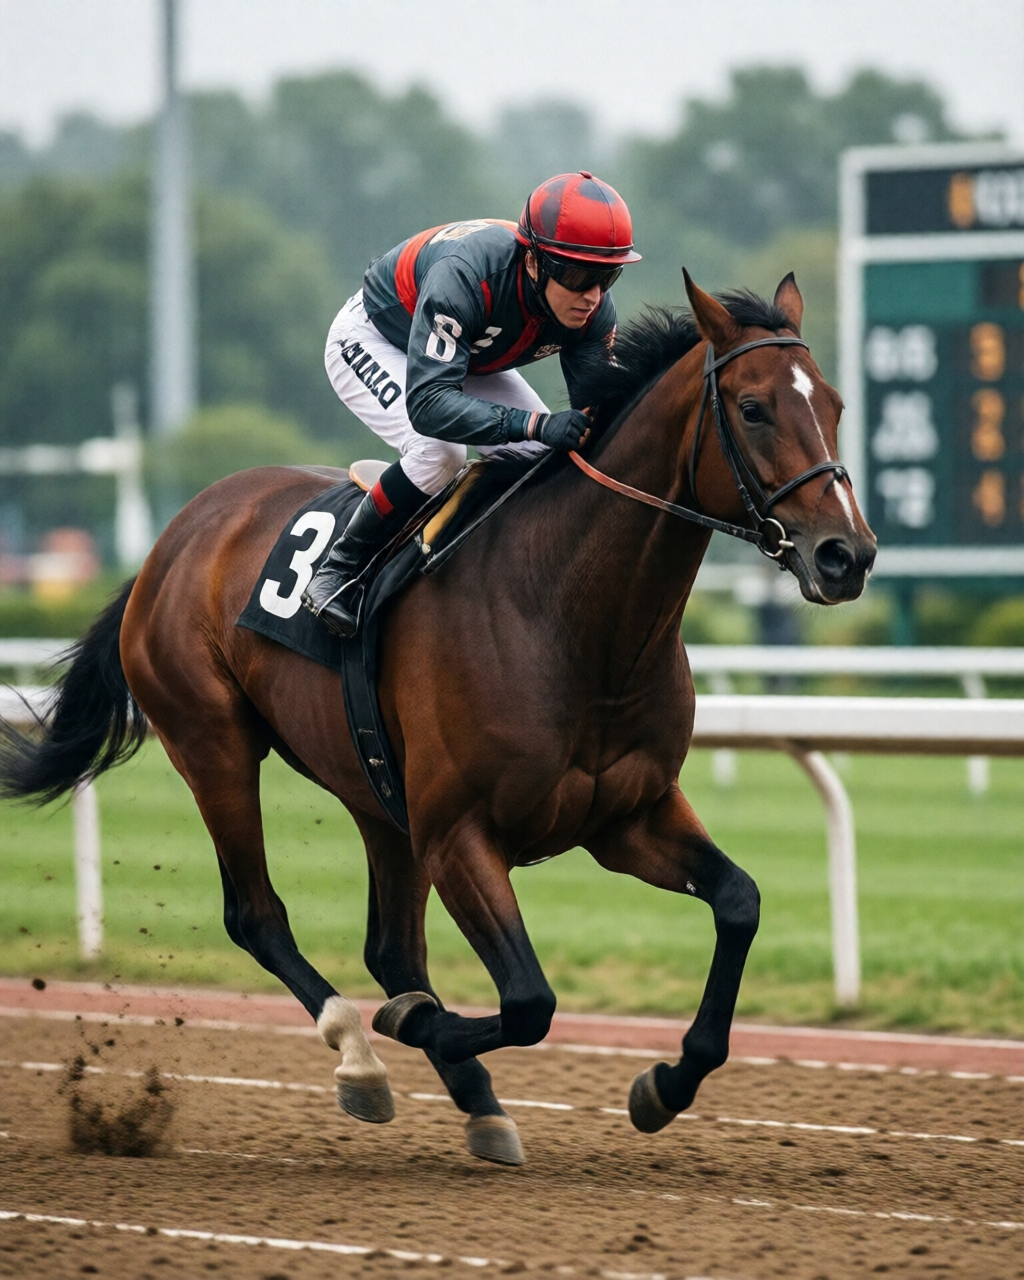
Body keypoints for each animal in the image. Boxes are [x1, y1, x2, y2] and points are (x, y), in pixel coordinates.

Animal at [0, 272, 875, 1166]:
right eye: (753, 408)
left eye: (835, 403)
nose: (847, 555)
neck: (572, 618)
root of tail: (171, 540)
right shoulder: (460, 833)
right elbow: (528, 1000)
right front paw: (415, 1027)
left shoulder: (627, 816)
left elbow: (738, 902)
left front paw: (664, 1083)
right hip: (214, 744)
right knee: (258, 915)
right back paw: (359, 1053)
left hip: (377, 792)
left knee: (389, 947)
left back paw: (476, 1100)